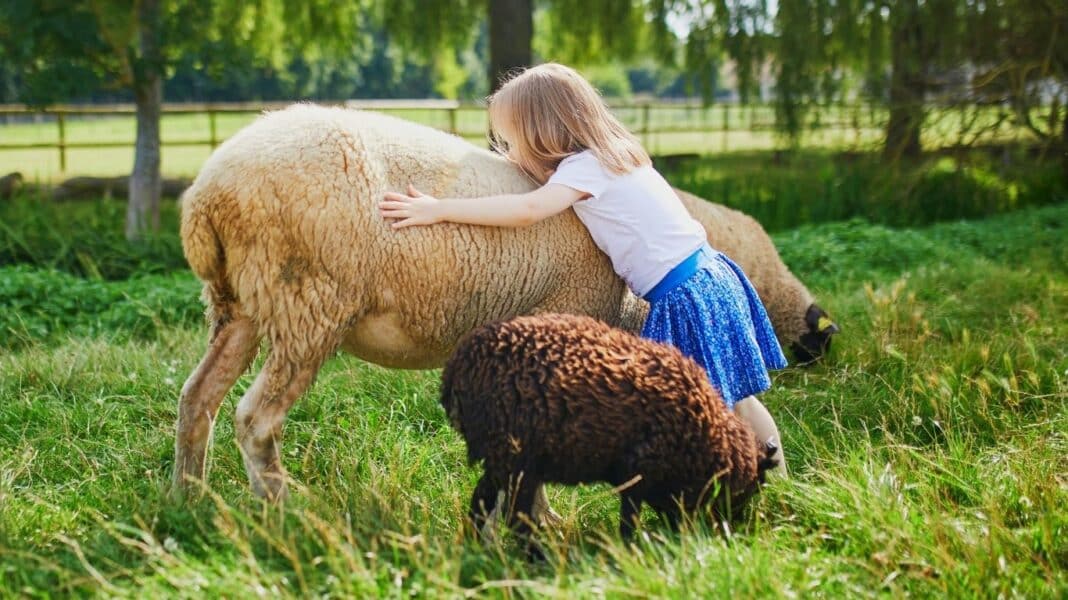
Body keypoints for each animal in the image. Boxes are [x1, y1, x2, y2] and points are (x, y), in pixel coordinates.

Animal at [441, 312, 780, 551]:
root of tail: (455, 370)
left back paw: (475, 547)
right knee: (516, 516)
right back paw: (538, 557)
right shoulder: (639, 472)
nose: (730, 533)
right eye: (753, 487)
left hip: (502, 459)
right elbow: (630, 519)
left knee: (482, 500)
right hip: (515, 459)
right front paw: (632, 550)